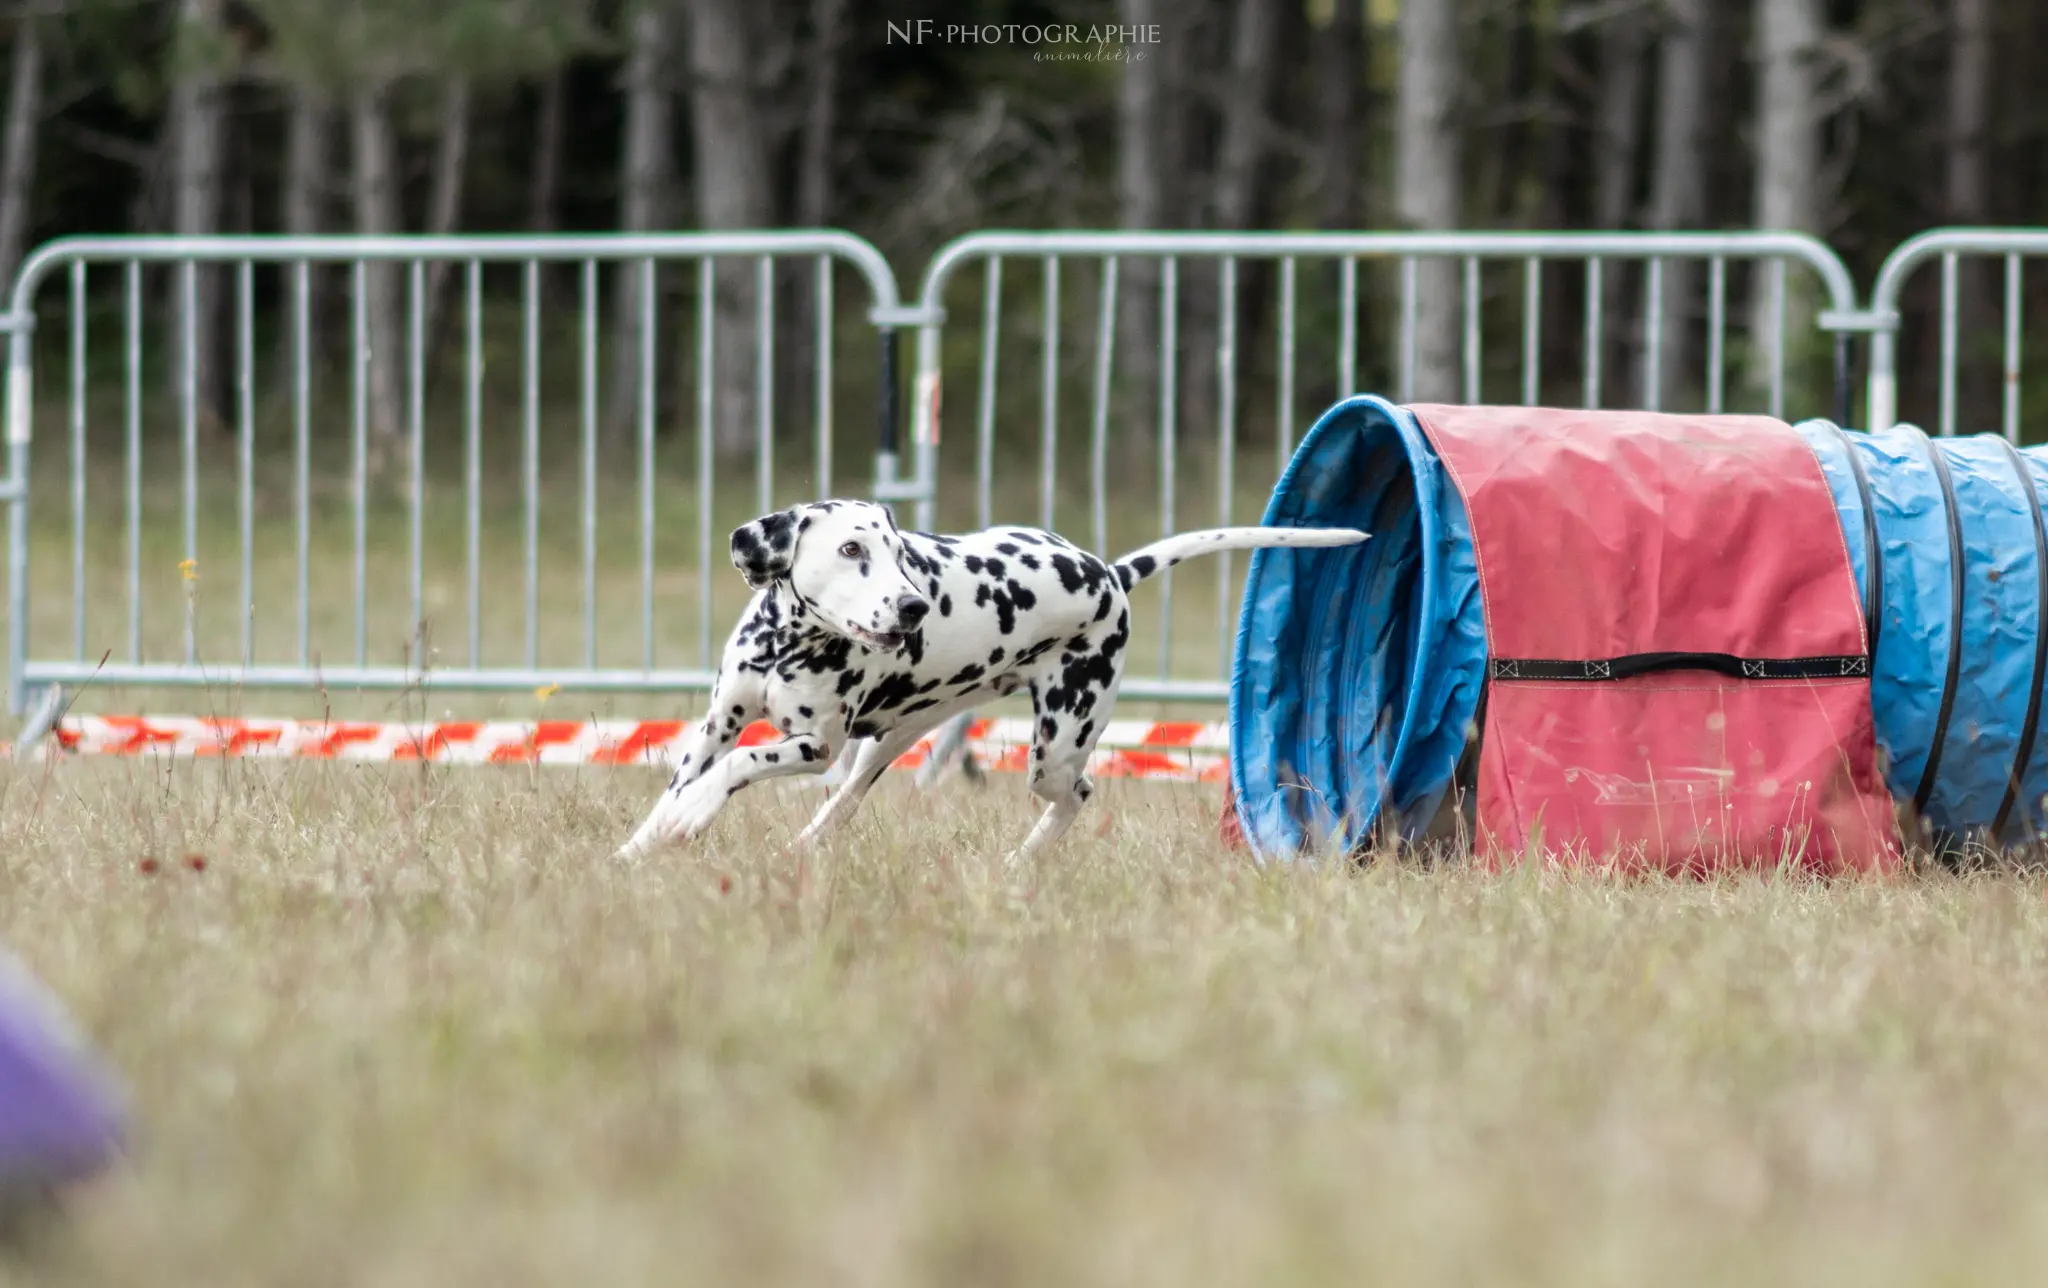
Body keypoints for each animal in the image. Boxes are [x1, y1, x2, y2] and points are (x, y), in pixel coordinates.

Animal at [614, 501, 1368, 864]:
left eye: (898, 551)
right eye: (851, 549)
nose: (913, 606)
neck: (790, 645)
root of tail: (1109, 574)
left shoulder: (811, 747)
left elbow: (737, 767)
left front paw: (695, 814)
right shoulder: (717, 725)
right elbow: (678, 787)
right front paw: (640, 846)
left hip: (1054, 750)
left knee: (1077, 796)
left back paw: (1022, 862)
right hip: (883, 747)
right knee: (843, 806)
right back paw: (803, 848)